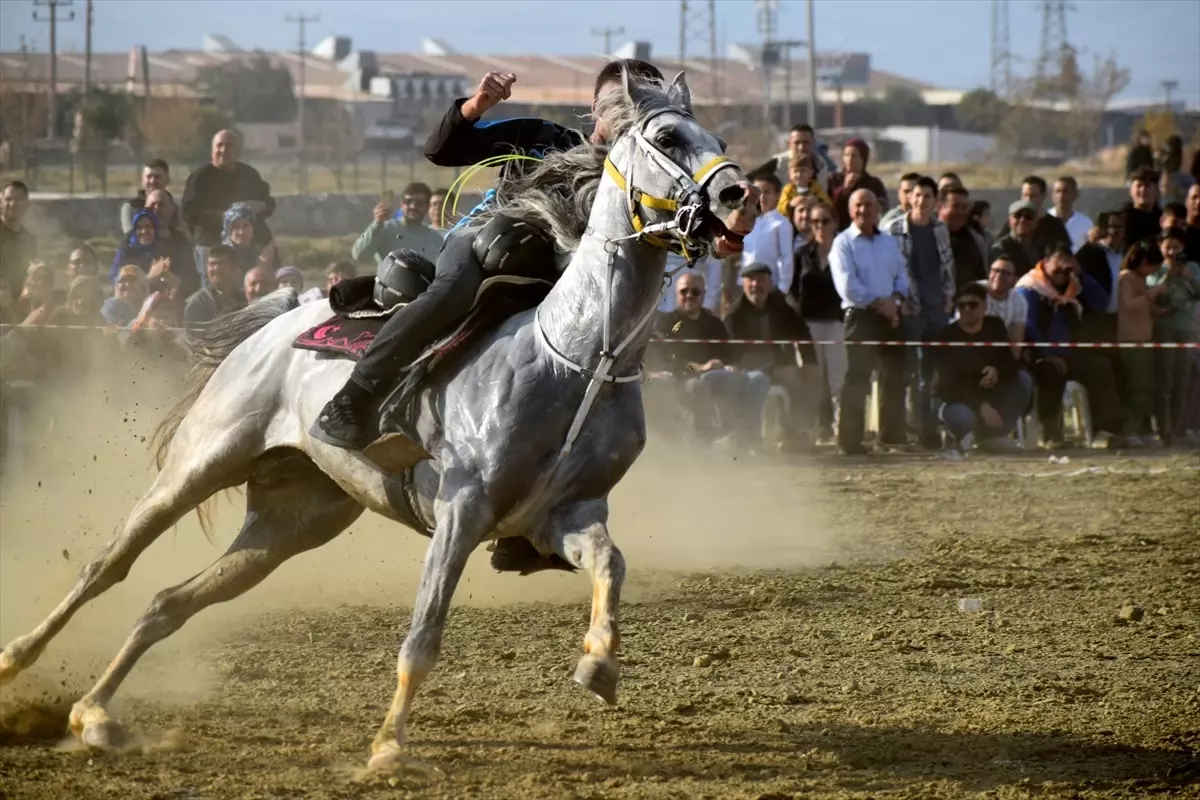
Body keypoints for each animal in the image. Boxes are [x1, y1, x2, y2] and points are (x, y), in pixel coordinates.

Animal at [0, 71, 753, 772]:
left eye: (718, 137)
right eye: (668, 138)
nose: (735, 199)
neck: (575, 356)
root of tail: (285, 317)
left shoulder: (566, 514)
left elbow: (611, 564)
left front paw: (598, 665)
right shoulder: (462, 509)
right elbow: (423, 636)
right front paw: (389, 745)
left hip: (291, 522)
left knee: (167, 602)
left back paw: (94, 716)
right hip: (200, 462)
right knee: (108, 566)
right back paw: (18, 662)